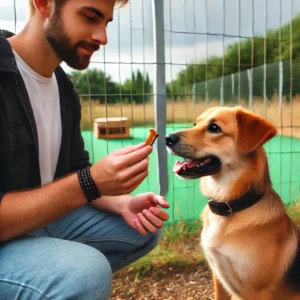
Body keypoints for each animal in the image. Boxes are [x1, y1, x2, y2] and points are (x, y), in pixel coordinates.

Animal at [166, 106, 300, 300]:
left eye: (214, 128)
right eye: (195, 124)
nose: (167, 138)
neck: (230, 208)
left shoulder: (258, 291)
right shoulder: (218, 277)